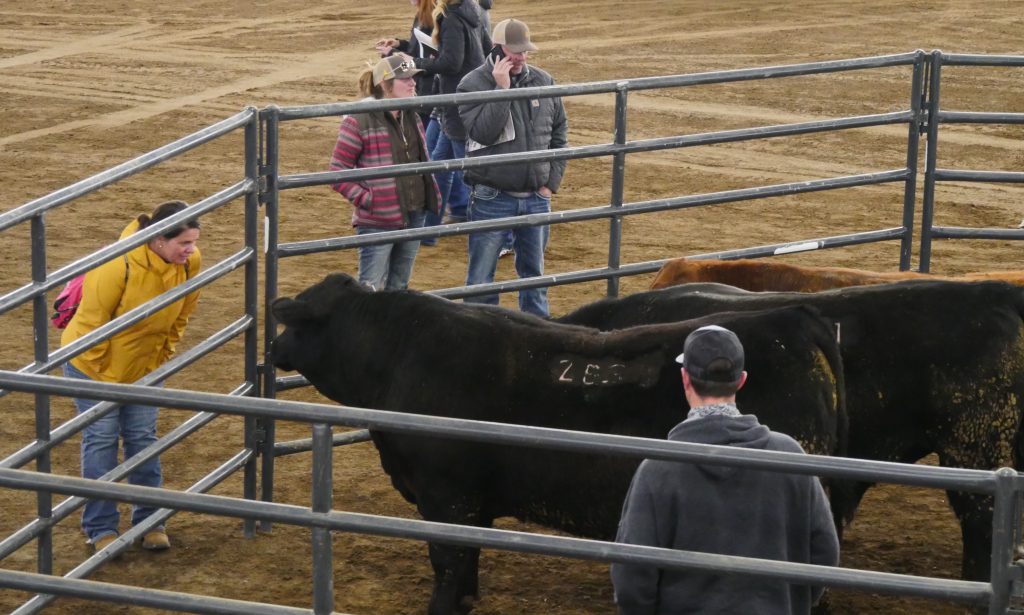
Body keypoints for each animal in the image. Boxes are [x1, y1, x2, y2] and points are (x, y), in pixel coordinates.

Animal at [268, 274, 843, 613]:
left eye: (296, 318)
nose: (272, 348)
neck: (398, 354)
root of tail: (795, 320)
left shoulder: (446, 496)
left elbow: (449, 562)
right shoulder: (470, 504)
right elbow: (467, 562)